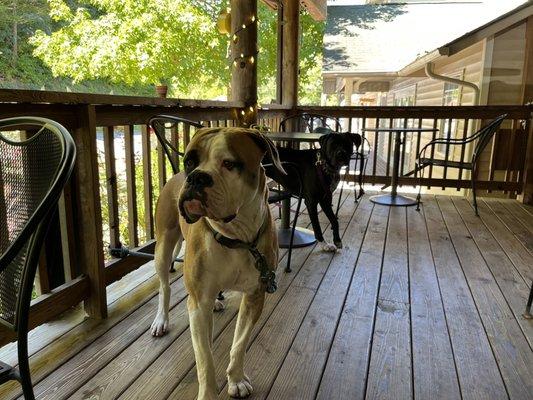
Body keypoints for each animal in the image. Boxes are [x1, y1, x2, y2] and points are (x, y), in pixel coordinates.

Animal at [150, 126, 284, 398]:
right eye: (190, 162)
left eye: (229, 164)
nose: (196, 178)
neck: (235, 237)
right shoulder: (198, 306)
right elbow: (205, 360)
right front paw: (209, 393)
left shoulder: (255, 296)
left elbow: (240, 343)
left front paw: (236, 379)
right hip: (163, 247)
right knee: (164, 286)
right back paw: (161, 320)